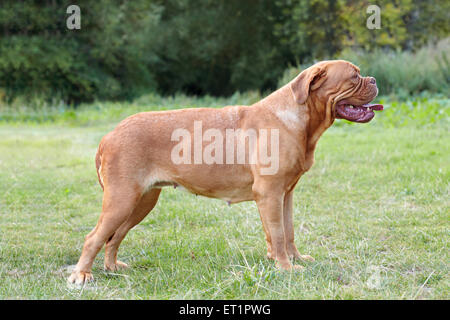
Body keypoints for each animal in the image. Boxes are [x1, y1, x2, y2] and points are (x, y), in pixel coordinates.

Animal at [67, 60, 384, 284]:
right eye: (354, 76)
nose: (374, 79)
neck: (301, 120)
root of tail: (108, 135)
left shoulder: (285, 194)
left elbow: (287, 231)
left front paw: (292, 259)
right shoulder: (269, 193)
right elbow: (279, 234)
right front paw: (285, 267)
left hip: (142, 201)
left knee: (114, 237)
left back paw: (111, 267)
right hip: (121, 199)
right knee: (94, 237)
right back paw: (82, 275)